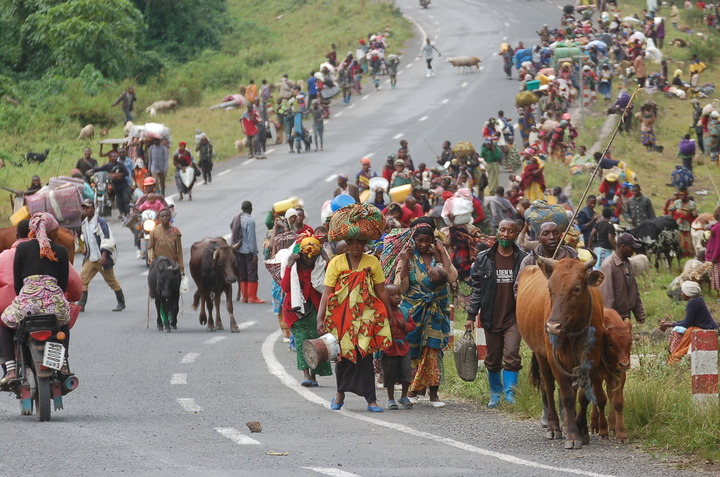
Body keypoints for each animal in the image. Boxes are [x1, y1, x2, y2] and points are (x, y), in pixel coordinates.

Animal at [516, 255, 608, 448]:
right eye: (550, 288)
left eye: (577, 288)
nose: (553, 326)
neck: (572, 332)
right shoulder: (554, 359)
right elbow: (567, 397)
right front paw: (573, 435)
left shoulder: (591, 360)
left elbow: (582, 396)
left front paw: (582, 429)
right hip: (542, 356)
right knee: (549, 387)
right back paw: (554, 427)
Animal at [592, 310, 632, 440]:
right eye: (610, 343)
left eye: (630, 342)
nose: (625, 364)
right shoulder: (595, 376)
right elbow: (600, 400)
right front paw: (603, 429)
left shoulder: (620, 375)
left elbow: (617, 402)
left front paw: (621, 433)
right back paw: (594, 423)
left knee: (610, 396)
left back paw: (613, 425)